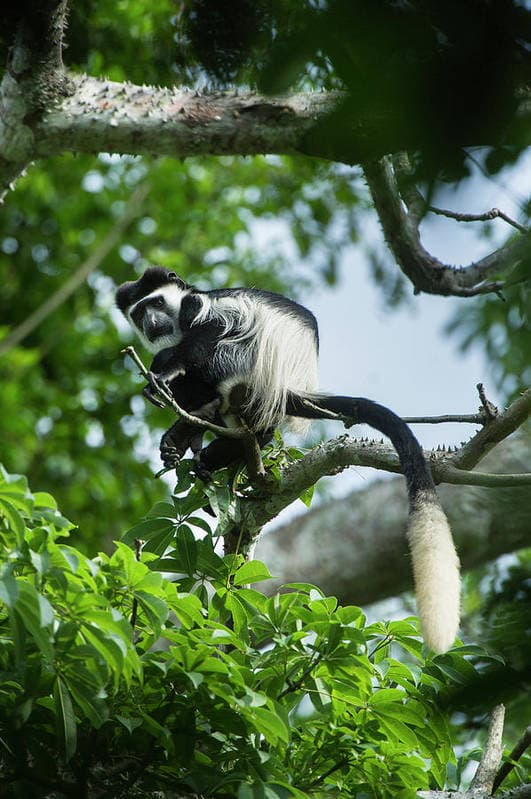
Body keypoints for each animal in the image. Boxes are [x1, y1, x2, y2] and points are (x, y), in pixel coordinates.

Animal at [117, 266, 462, 652]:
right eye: (139, 313)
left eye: (157, 303)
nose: (151, 323)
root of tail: (289, 390)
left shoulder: (200, 309)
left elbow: (207, 333)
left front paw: (164, 375)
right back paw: (197, 442)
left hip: (243, 367)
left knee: (211, 354)